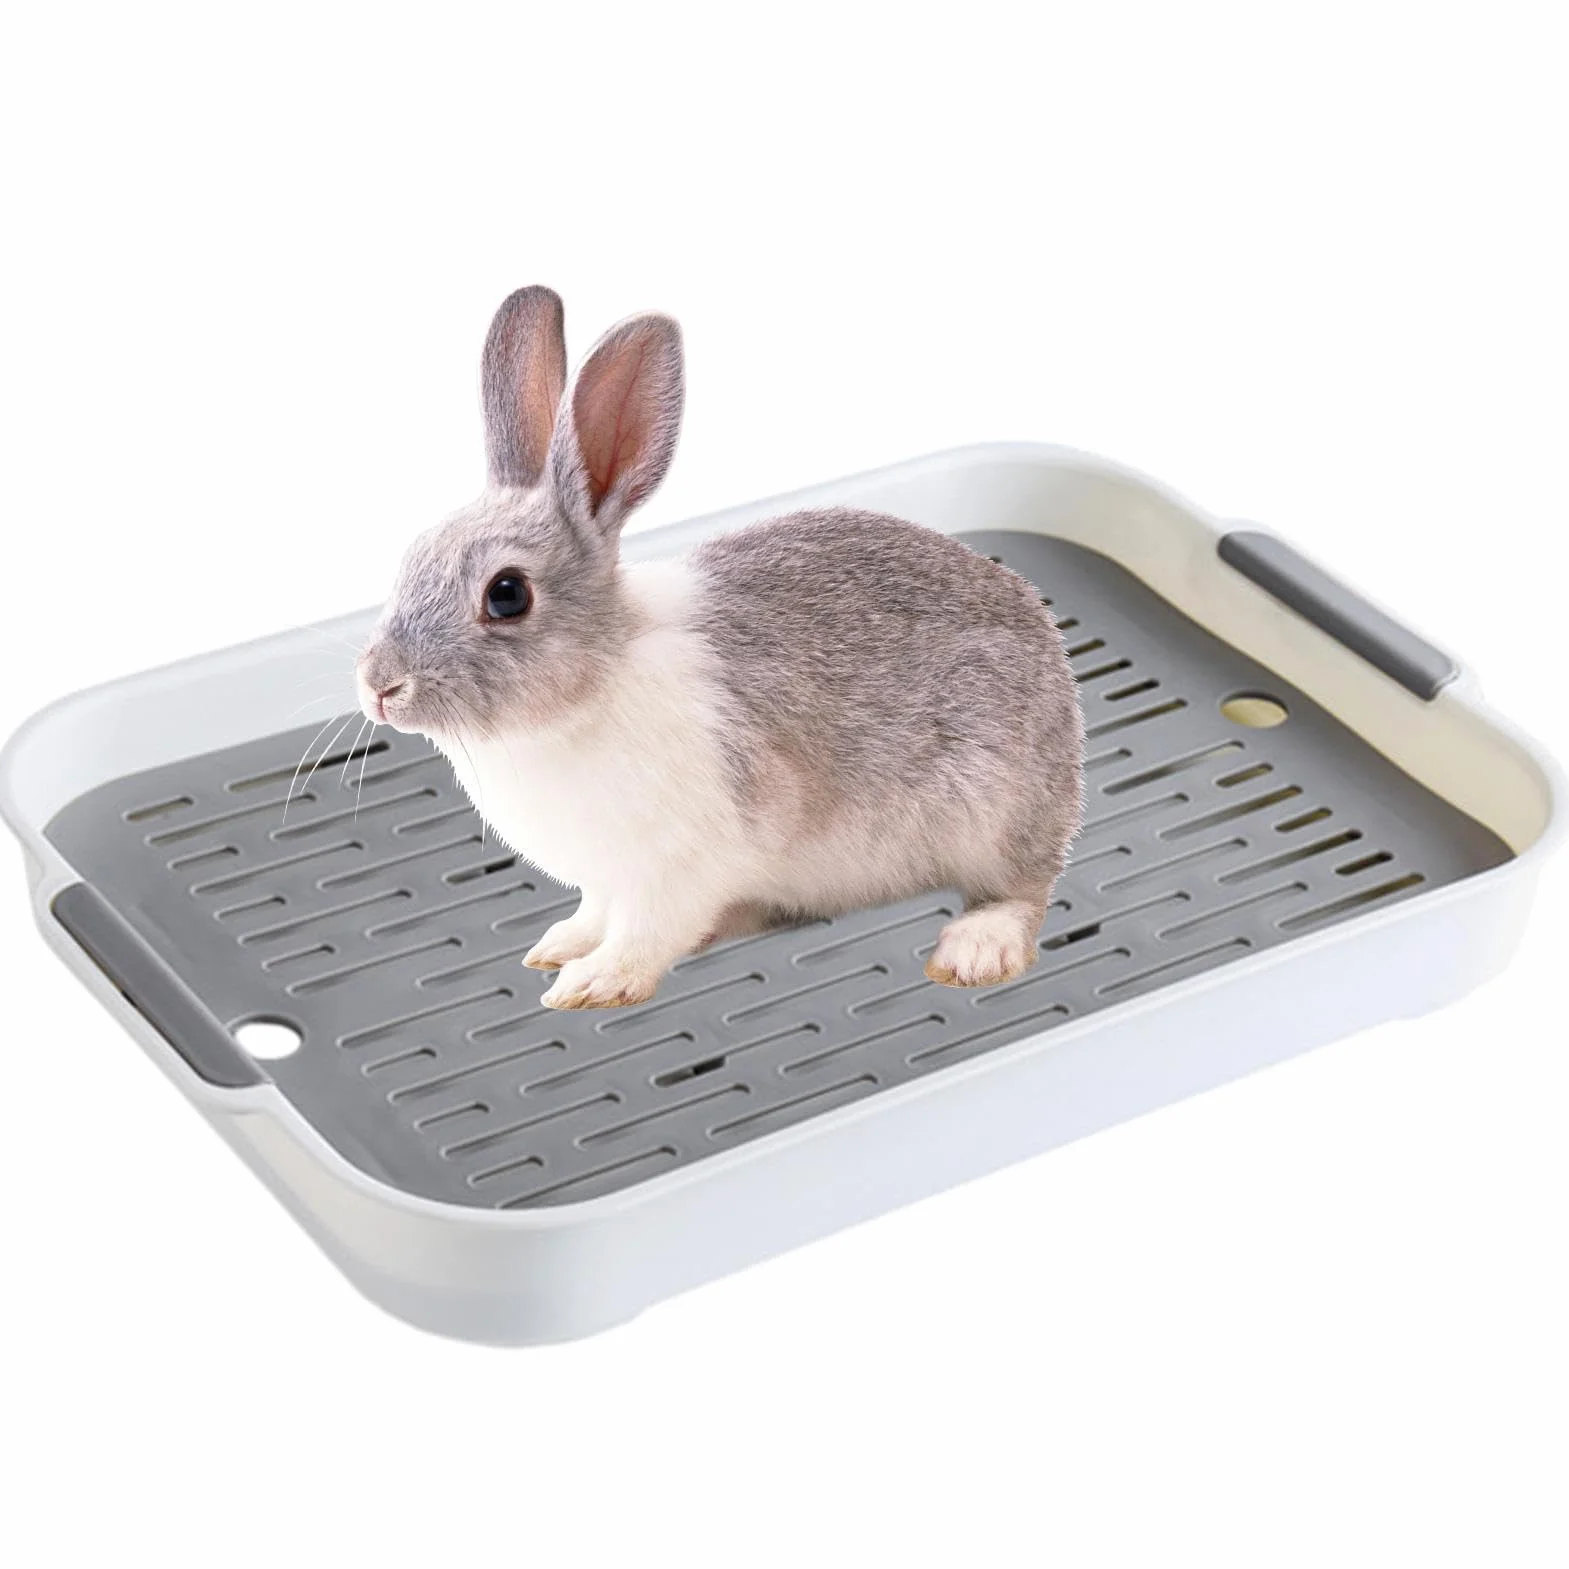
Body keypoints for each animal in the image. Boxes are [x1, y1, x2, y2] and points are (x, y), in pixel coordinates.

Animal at [356, 285, 1085, 1009]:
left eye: (507, 594)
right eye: (411, 557)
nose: (379, 686)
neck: (593, 685)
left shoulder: (678, 867)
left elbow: (644, 933)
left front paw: (592, 982)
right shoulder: (608, 879)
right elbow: (595, 913)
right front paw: (559, 946)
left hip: (994, 816)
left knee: (1024, 890)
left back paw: (976, 950)